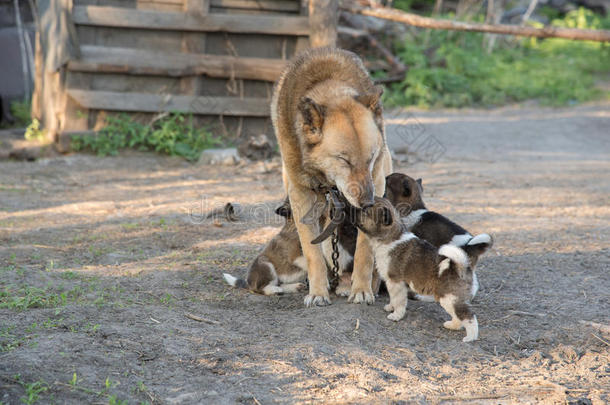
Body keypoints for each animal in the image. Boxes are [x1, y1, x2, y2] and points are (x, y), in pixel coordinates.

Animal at [270, 47, 390, 306]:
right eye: (344, 160)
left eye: (370, 158)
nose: (368, 202)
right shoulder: (301, 196)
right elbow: (312, 253)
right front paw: (317, 292)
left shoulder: (376, 181)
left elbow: (364, 252)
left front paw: (362, 288)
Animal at [354, 197, 478, 342]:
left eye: (366, 212)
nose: (351, 208)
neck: (390, 238)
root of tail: (462, 267)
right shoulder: (392, 283)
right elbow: (393, 298)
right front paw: (390, 307)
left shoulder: (396, 282)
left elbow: (398, 300)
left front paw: (396, 315)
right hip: (449, 299)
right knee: (458, 316)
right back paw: (452, 325)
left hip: (450, 298)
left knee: (469, 317)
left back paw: (470, 337)